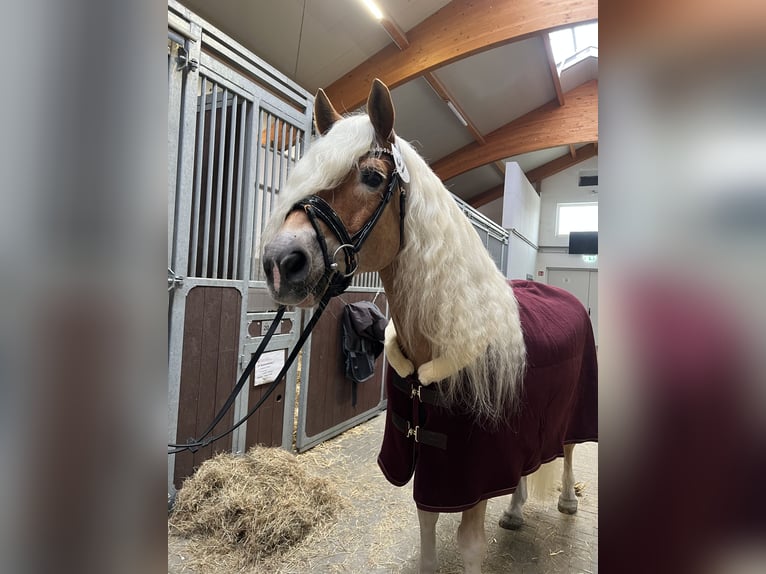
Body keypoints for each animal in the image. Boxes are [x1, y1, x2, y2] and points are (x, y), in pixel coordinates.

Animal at [262, 79, 600, 572]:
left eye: (372, 177)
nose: (280, 262)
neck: (444, 337)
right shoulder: (428, 456)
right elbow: (426, 524)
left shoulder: (472, 471)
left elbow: (470, 544)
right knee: (521, 472)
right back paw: (516, 511)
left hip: (570, 414)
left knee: (571, 449)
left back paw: (568, 502)